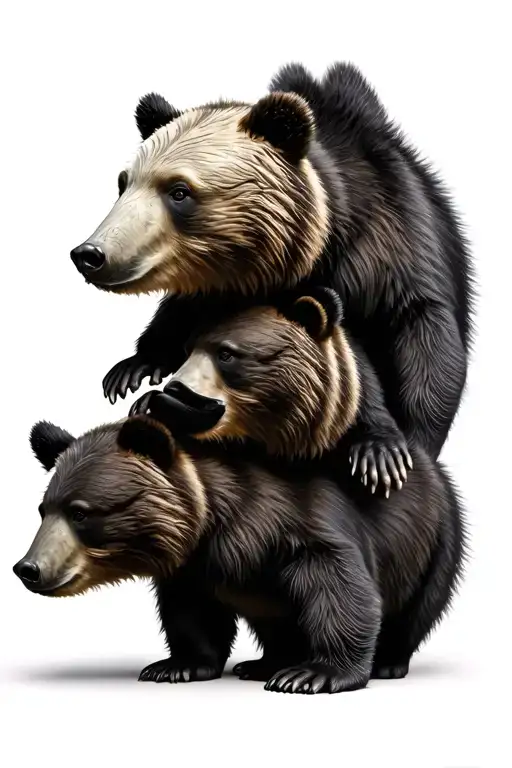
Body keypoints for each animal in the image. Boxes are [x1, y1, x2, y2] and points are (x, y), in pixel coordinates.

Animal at [70, 61, 473, 461]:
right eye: (123, 184)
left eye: (179, 191)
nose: (90, 254)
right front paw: (135, 370)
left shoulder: (383, 251)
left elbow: (413, 334)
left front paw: (387, 448)